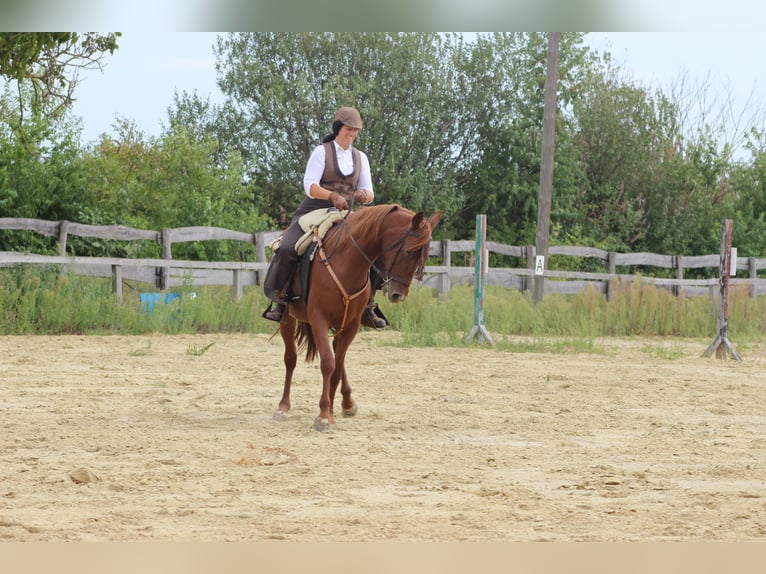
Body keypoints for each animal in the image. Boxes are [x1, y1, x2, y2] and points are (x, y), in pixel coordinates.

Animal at [276, 202, 444, 432]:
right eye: (409, 250)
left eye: (424, 256)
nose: (398, 295)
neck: (346, 261)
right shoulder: (319, 318)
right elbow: (328, 363)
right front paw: (323, 415)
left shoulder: (352, 324)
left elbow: (337, 367)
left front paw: (330, 412)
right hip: (288, 318)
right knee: (290, 358)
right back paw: (283, 407)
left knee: (338, 359)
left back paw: (348, 403)